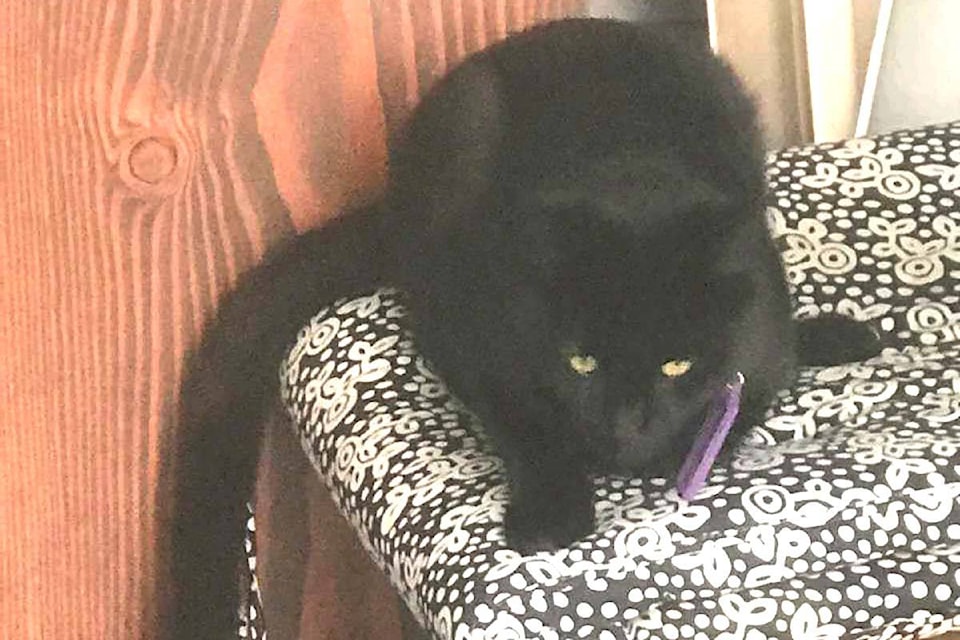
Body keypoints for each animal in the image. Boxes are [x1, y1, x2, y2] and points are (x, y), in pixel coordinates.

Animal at [161, 18, 881, 639]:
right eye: (581, 361)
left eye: (675, 364)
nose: (624, 423)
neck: (636, 177)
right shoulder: (480, 349)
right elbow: (531, 431)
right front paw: (551, 512)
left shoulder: (753, 341)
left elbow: (739, 404)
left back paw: (837, 336)